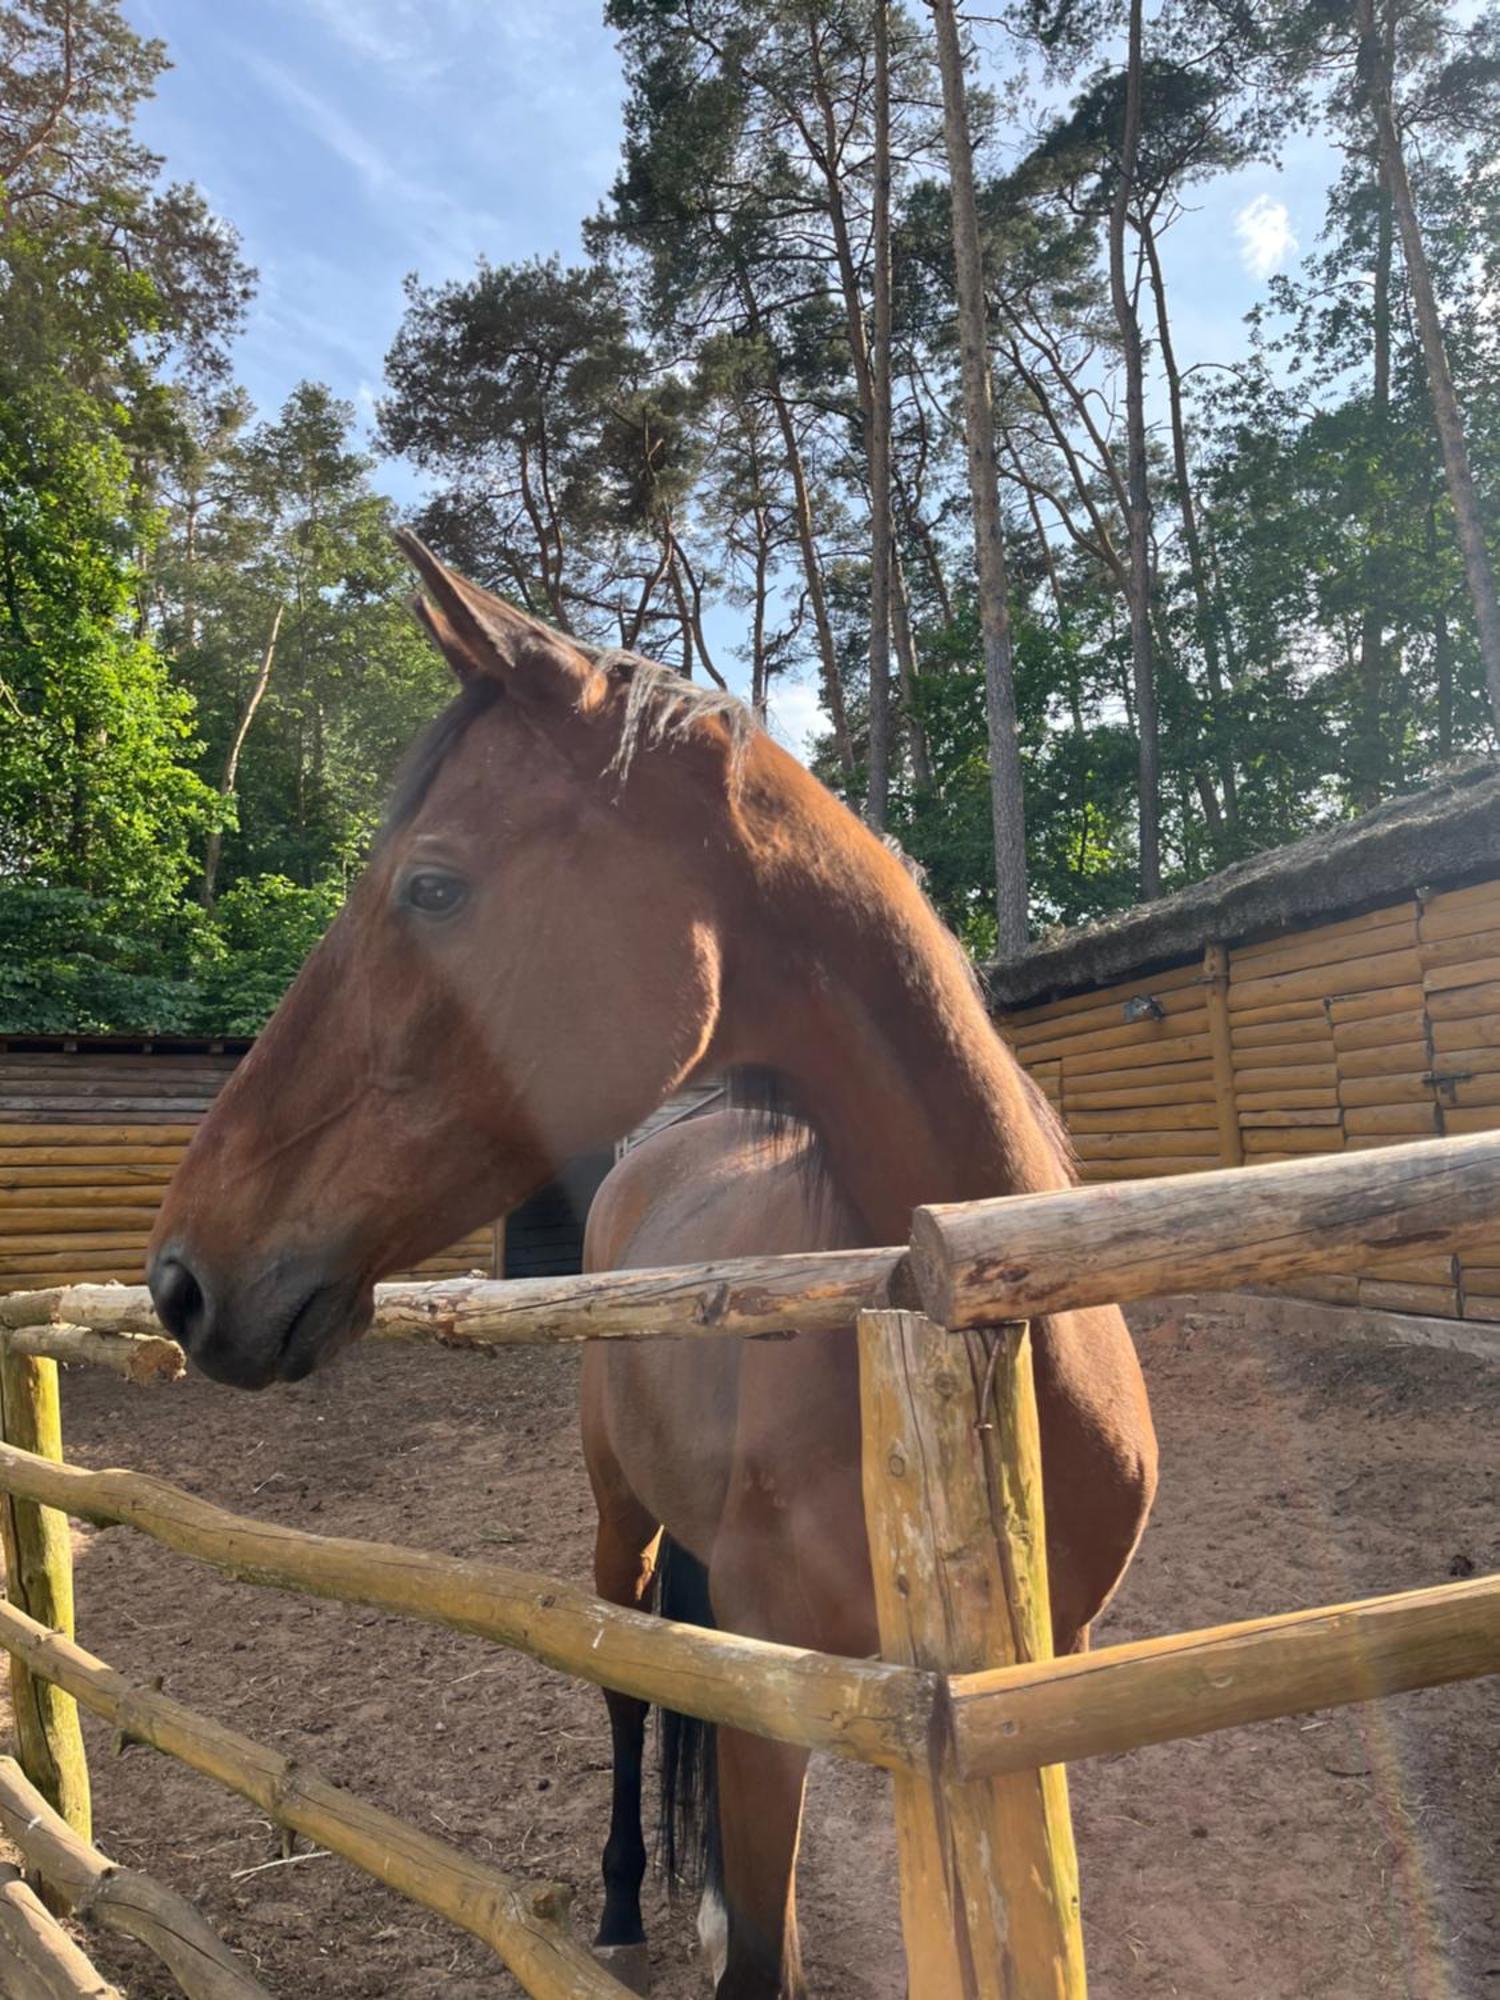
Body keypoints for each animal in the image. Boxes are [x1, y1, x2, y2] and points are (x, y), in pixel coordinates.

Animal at [150, 536, 1160, 2000]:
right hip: (616, 1511)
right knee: (631, 1684)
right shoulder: (775, 1701)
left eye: (432, 885)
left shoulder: (1039, 1690)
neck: (970, 1345)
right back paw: (631, 1902)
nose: (179, 1277)